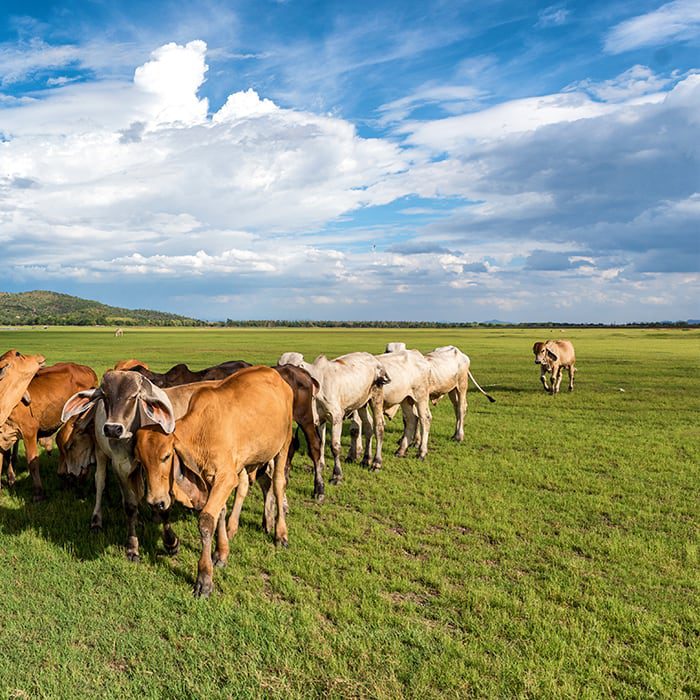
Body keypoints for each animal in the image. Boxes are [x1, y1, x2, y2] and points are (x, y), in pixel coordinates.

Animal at [63, 370, 223, 560]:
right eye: (104, 395)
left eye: (134, 396)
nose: (112, 429)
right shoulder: (121, 466)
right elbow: (130, 506)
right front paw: (132, 547)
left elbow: (162, 505)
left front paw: (171, 543)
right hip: (101, 453)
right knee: (100, 483)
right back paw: (97, 521)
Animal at [135, 364, 294, 600]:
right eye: (142, 462)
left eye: (166, 456)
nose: (156, 502)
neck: (202, 432)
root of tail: (277, 377)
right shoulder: (212, 478)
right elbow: (219, 513)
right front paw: (221, 552)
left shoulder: (225, 477)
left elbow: (206, 520)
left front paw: (204, 578)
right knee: (248, 486)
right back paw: (238, 527)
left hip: (283, 444)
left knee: (277, 483)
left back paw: (280, 533)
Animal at [278, 352, 388, 484]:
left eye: (296, 368)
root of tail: (374, 359)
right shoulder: (320, 419)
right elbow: (321, 443)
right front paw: (320, 466)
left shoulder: (336, 417)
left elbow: (335, 447)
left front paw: (337, 475)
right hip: (362, 404)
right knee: (368, 427)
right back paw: (366, 459)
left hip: (376, 396)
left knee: (379, 427)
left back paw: (376, 463)